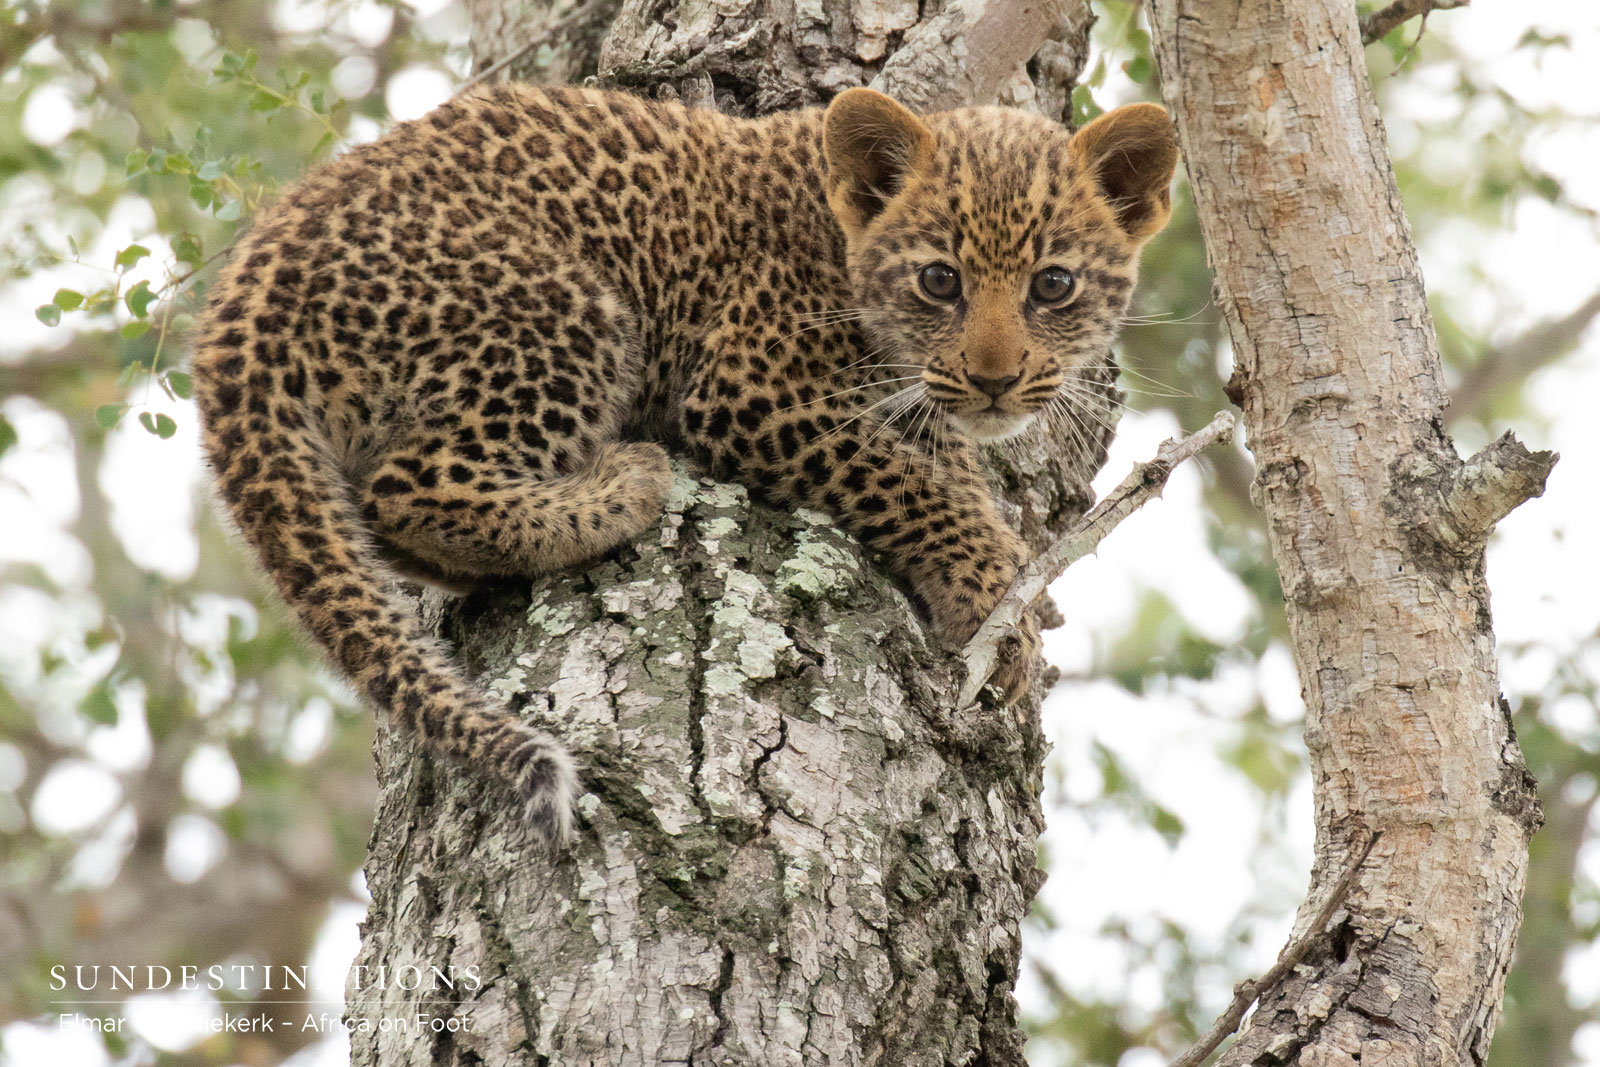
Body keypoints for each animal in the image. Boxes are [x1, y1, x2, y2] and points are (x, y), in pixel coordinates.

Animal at [190, 84, 1178, 850]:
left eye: (1053, 285)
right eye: (940, 280)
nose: (995, 377)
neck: (839, 236)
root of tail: (240, 295)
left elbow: (940, 457)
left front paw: (1016, 570)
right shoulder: (753, 387)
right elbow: (908, 476)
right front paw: (990, 594)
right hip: (564, 305)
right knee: (410, 487)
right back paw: (622, 487)